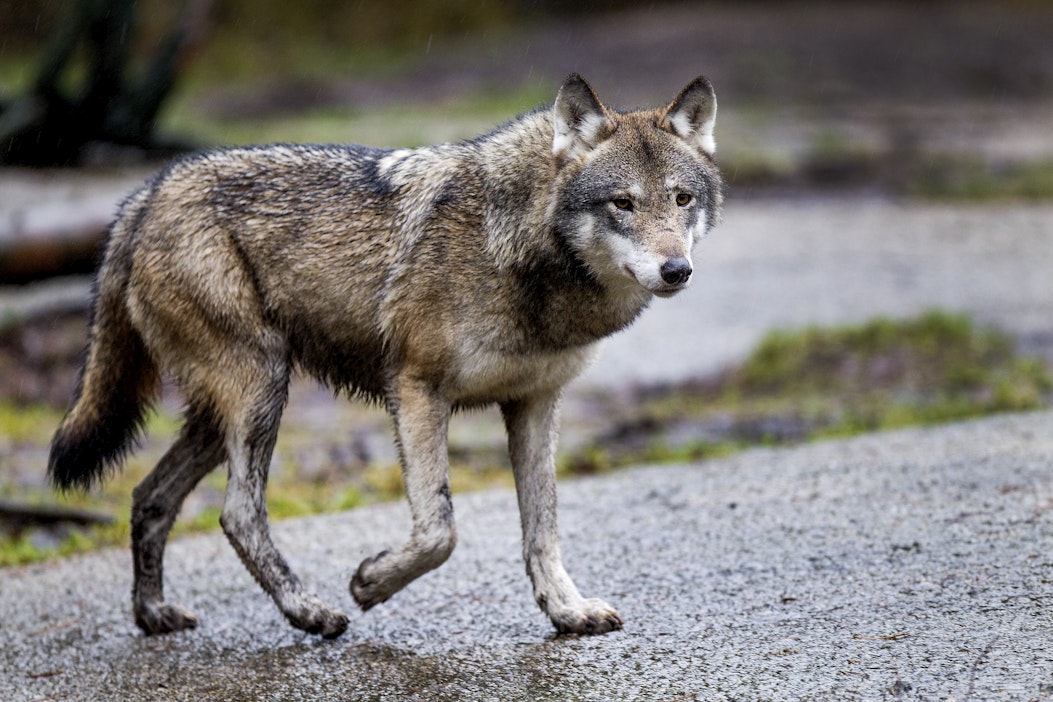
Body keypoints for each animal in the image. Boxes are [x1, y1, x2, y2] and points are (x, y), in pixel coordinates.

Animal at [49, 74, 724, 639]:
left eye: (682, 199)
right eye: (623, 204)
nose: (676, 270)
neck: (517, 249)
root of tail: (144, 194)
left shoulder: (535, 404)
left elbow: (543, 527)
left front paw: (567, 610)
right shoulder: (417, 389)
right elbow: (440, 530)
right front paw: (370, 583)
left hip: (224, 418)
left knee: (150, 498)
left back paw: (153, 613)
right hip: (261, 394)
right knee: (238, 513)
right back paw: (311, 613)